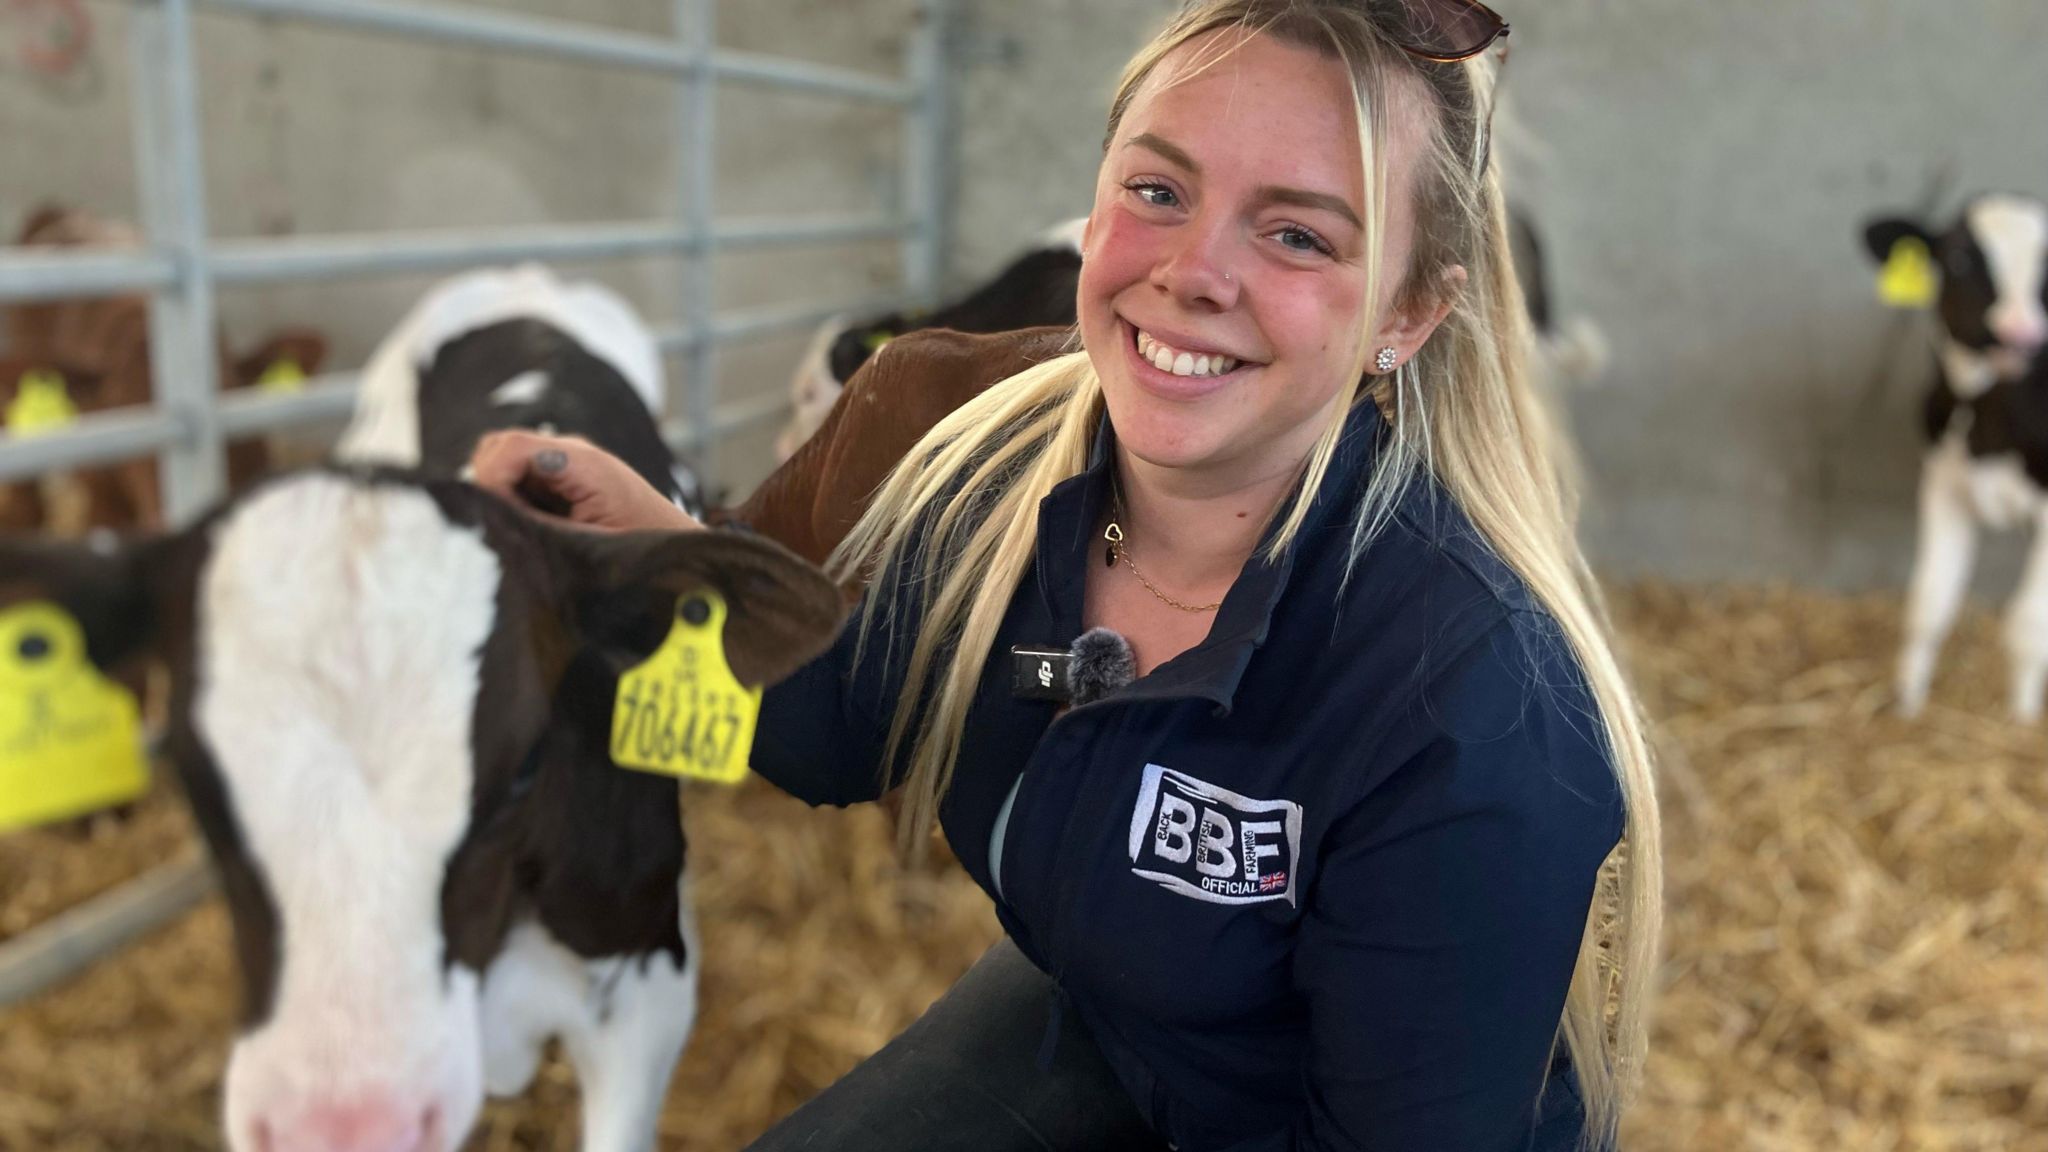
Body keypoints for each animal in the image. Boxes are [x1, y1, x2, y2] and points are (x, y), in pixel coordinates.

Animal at [1867, 196, 2048, 717]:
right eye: (1960, 258)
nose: (2020, 336)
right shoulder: (1941, 485)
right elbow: (1928, 603)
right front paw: (1908, 708)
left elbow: (2029, 626)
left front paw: (2020, 720)